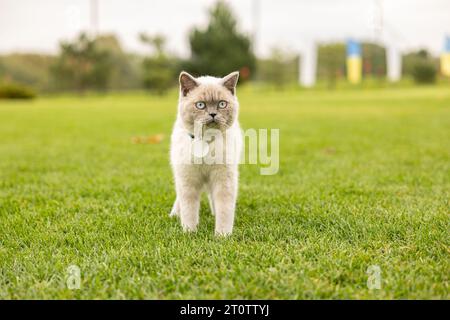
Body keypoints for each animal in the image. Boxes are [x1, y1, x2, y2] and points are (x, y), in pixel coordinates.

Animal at [169, 71, 241, 236]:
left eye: (222, 104)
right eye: (200, 105)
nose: (213, 114)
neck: (206, 142)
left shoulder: (223, 178)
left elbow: (224, 209)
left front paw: (222, 235)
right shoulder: (188, 179)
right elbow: (189, 209)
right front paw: (190, 232)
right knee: (179, 197)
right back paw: (174, 215)